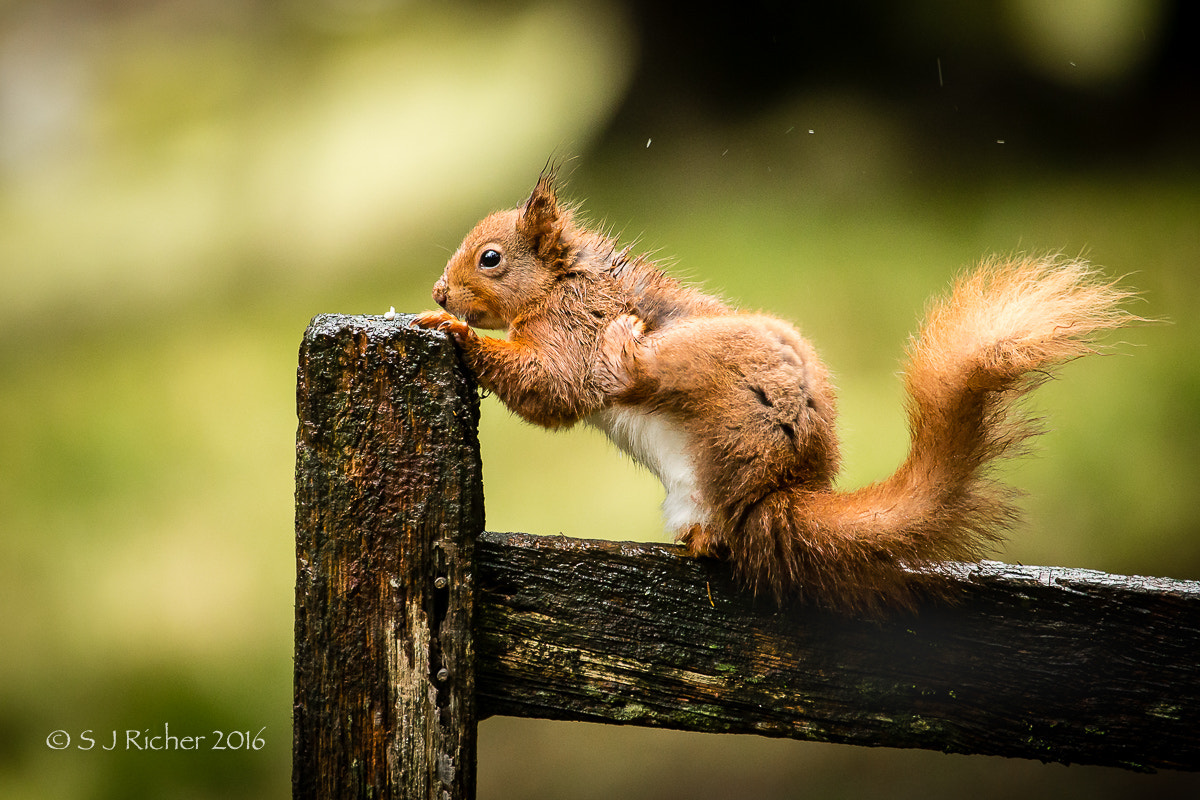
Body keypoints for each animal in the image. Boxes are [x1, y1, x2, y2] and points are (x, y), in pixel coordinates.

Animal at [412, 169, 1138, 614]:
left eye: (491, 259)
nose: (439, 292)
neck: (561, 283)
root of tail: (780, 496)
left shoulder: (575, 332)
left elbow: (554, 387)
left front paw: (454, 332)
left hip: (716, 372)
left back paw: (631, 363)